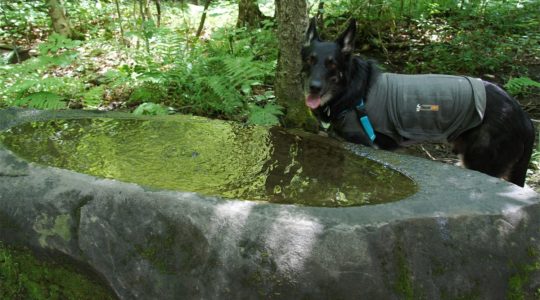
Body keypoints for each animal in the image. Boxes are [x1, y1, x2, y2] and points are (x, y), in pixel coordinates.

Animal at [302, 18, 532, 186]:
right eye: (310, 60)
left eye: (332, 64)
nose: (313, 87)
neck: (353, 91)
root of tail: (522, 115)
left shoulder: (367, 144)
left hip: (483, 163)